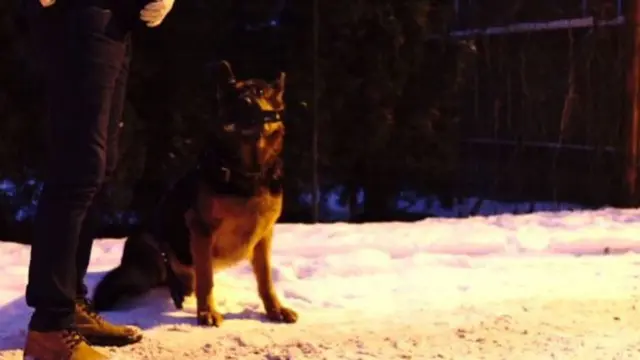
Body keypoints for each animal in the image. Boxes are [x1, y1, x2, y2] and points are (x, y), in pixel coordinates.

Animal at [92, 61, 298, 326]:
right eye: (230, 93)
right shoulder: (201, 231)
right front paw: (207, 311)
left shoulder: (264, 236)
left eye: (259, 91)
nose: (242, 103)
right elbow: (206, 278)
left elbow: (265, 279)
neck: (246, 172)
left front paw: (275, 309)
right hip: (147, 251)